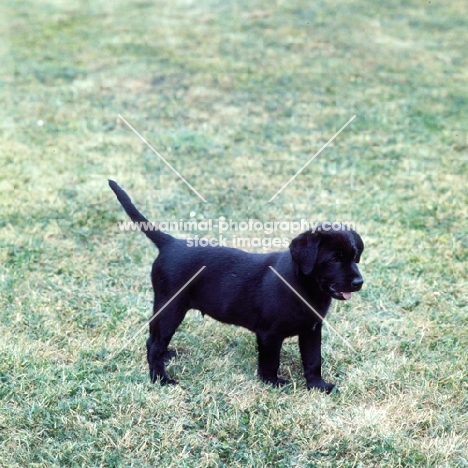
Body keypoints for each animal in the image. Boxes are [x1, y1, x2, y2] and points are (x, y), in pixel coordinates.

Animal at [110, 181, 366, 394]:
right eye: (334, 259)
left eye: (354, 256)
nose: (359, 282)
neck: (304, 287)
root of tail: (170, 243)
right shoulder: (269, 335)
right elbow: (270, 362)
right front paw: (272, 382)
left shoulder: (312, 330)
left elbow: (313, 360)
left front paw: (318, 386)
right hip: (170, 308)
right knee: (154, 343)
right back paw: (160, 378)